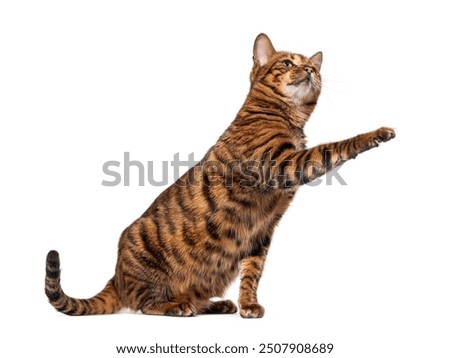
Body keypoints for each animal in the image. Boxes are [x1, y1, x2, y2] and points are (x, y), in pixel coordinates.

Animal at [45, 33, 396, 318]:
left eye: (314, 67)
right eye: (287, 62)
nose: (309, 70)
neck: (288, 117)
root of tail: (115, 277)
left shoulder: (261, 231)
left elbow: (252, 272)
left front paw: (247, 304)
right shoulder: (282, 165)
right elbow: (335, 147)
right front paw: (375, 134)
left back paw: (215, 304)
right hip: (143, 254)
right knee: (145, 303)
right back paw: (176, 305)